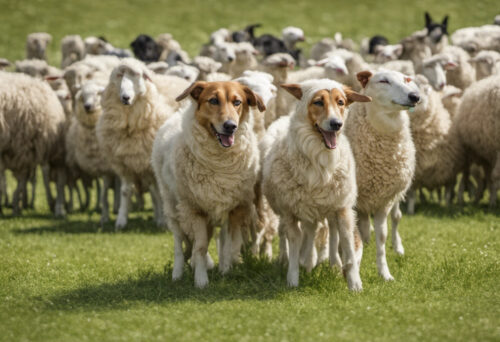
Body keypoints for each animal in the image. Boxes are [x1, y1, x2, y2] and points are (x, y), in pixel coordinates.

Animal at [152, 81, 266, 288]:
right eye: (213, 100)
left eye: (237, 102)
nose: (230, 126)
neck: (219, 164)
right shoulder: (195, 210)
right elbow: (200, 246)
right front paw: (201, 280)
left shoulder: (234, 208)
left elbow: (228, 244)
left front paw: (226, 271)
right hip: (173, 208)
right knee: (179, 243)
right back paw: (177, 274)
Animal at [344, 70, 418, 280]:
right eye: (383, 81)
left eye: (406, 80)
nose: (414, 96)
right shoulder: (356, 201)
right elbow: (356, 234)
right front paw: (355, 263)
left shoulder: (384, 201)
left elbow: (382, 236)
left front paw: (384, 273)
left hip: (395, 196)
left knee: (397, 218)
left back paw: (398, 247)